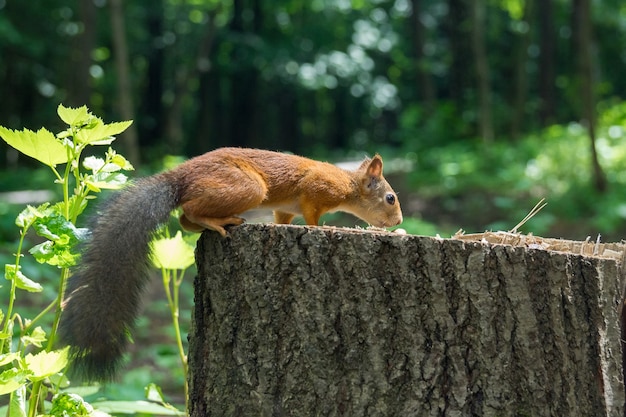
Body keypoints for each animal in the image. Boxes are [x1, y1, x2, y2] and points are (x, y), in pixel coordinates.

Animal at [58, 146, 400, 380]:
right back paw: (221, 222)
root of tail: (180, 176)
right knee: (189, 211)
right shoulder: (315, 190)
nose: (399, 222)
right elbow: (312, 216)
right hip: (246, 187)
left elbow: (283, 218)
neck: (349, 185)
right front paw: (322, 228)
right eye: (390, 198)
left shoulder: (286, 209)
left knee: (185, 220)